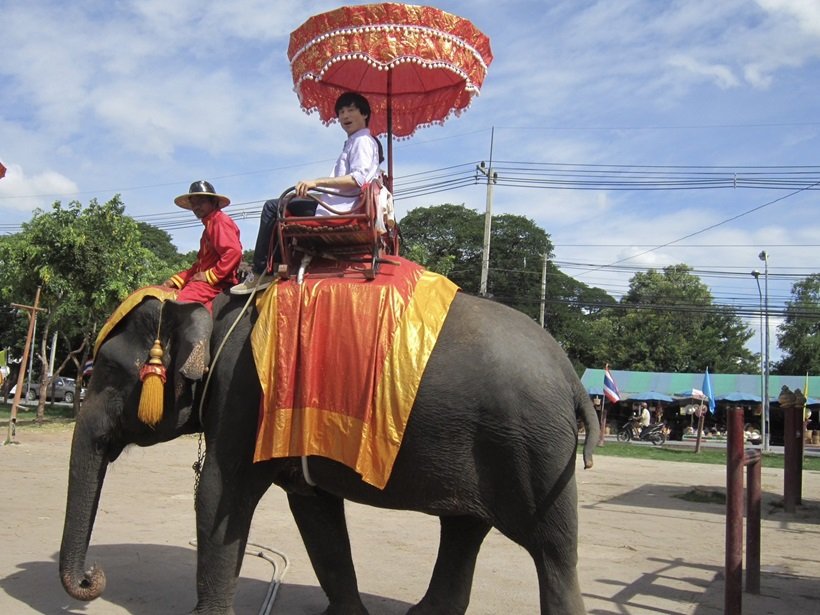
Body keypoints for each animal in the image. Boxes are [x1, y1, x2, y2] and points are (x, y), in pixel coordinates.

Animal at [57, 290, 596, 615]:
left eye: (107, 372)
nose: (91, 576)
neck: (219, 304)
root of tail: (572, 377)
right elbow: (314, 513)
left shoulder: (242, 395)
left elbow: (218, 497)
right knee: (464, 527)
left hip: (535, 450)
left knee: (552, 549)